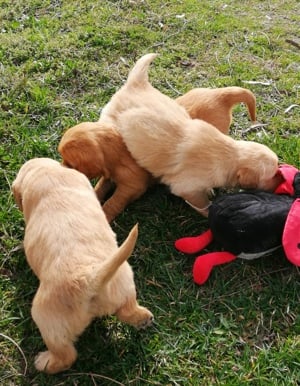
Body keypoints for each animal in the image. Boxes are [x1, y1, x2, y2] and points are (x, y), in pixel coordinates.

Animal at [12, 158, 154, 374]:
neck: (49, 173)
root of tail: (90, 278)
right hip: (124, 285)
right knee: (129, 310)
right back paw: (144, 319)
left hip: (46, 318)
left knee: (67, 356)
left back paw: (44, 362)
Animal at [59, 82, 258, 220]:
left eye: (71, 163)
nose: (61, 170)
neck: (118, 149)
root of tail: (219, 94)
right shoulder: (109, 176)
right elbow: (100, 188)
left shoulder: (132, 186)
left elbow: (113, 202)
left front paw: (104, 214)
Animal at [99, 53, 278, 216]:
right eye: (272, 176)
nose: (280, 183)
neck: (228, 154)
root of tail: (136, 84)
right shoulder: (187, 188)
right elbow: (204, 205)